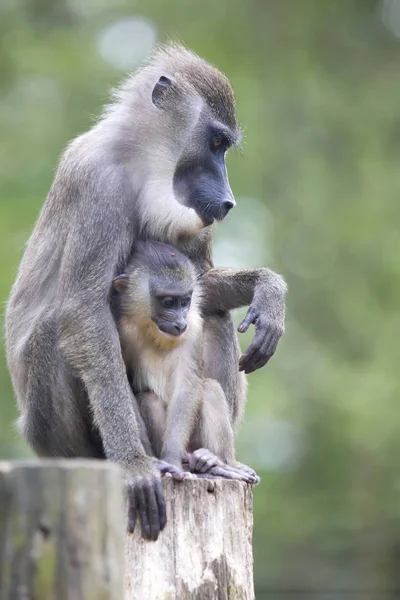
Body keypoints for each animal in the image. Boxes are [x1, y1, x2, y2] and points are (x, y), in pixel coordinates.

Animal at [111, 239, 258, 482]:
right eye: (168, 302)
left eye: (185, 302)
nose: (179, 322)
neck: (154, 332)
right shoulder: (123, 330)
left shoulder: (193, 328)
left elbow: (187, 386)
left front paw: (171, 459)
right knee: (150, 399)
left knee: (210, 388)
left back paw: (216, 463)